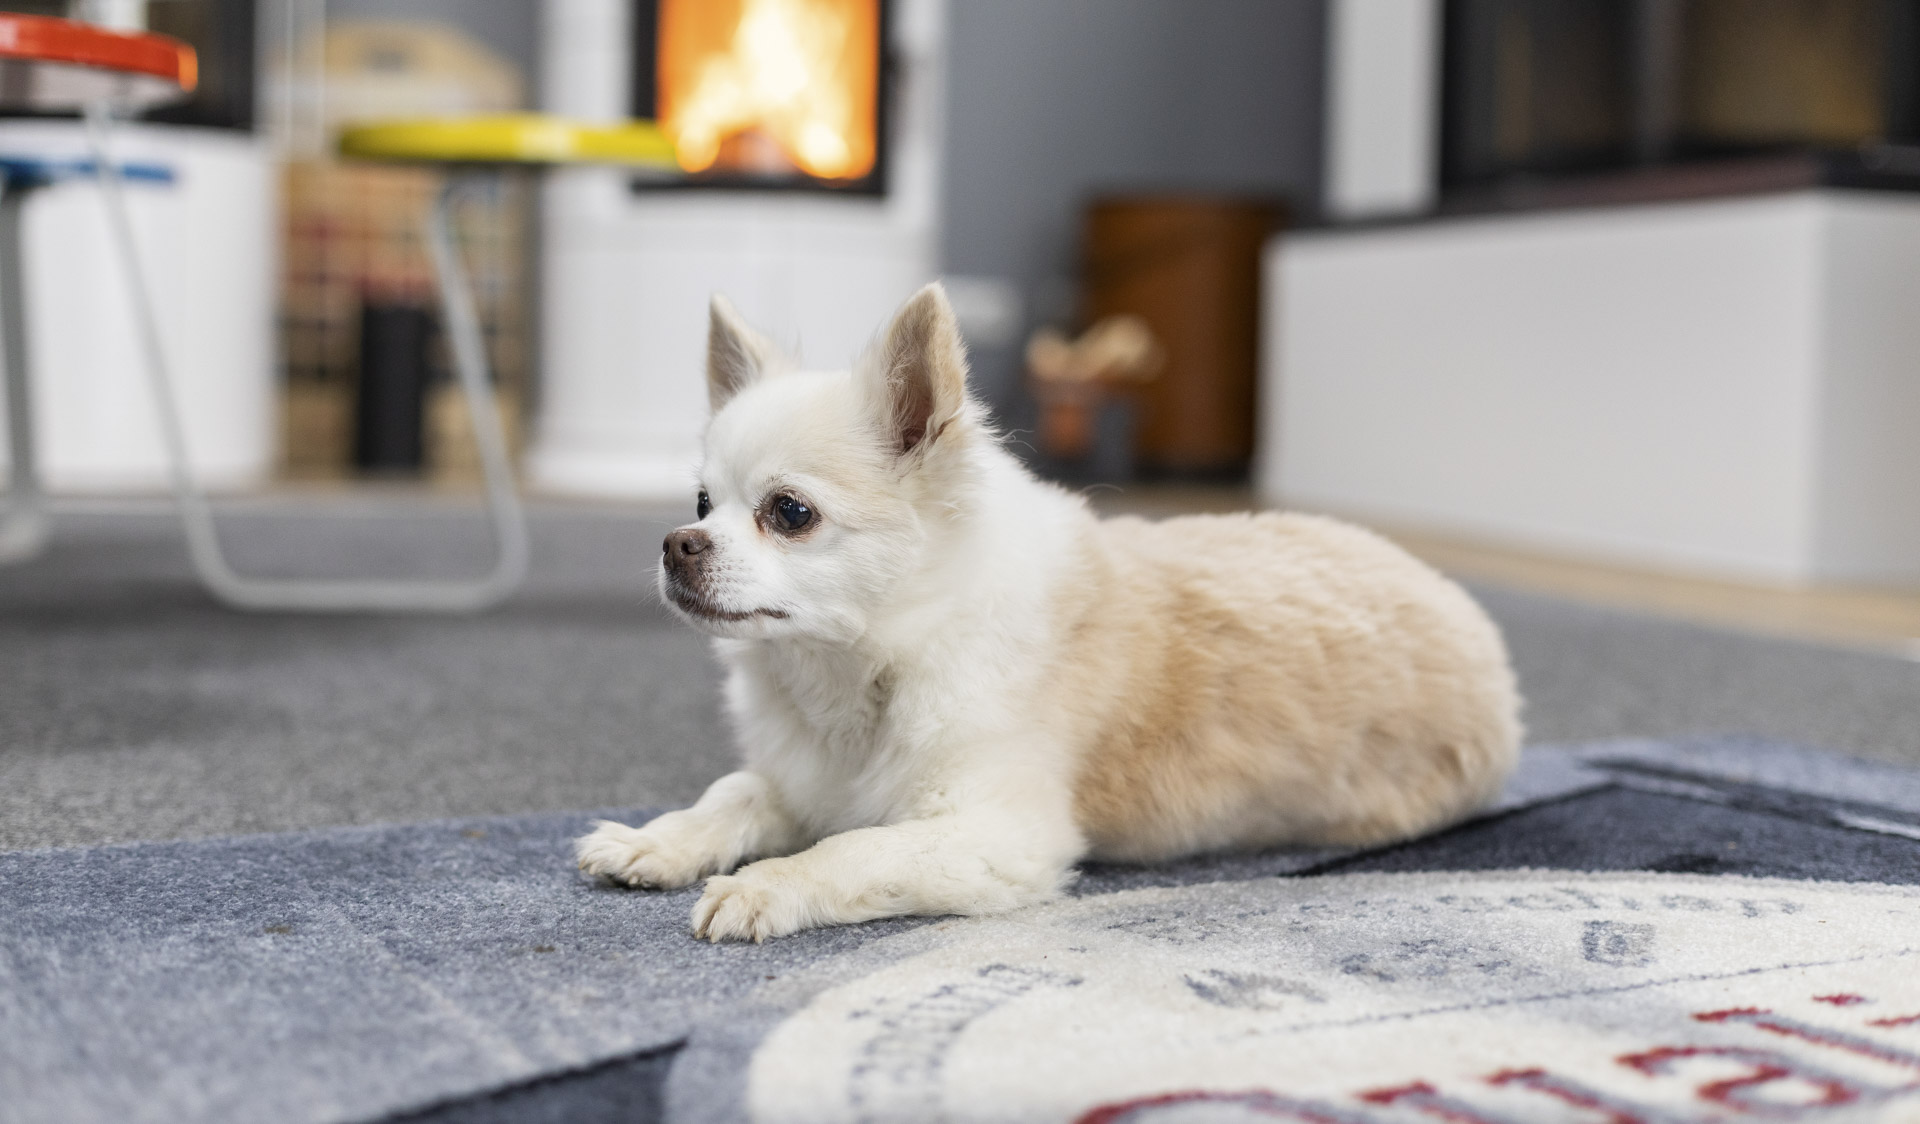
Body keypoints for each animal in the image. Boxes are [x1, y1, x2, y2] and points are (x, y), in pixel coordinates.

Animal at [576, 280, 1520, 937]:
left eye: (789, 513)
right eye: (701, 503)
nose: (676, 543)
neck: (860, 670)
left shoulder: (997, 836)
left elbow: (853, 847)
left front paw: (765, 887)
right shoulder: (803, 777)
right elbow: (734, 791)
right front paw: (656, 840)